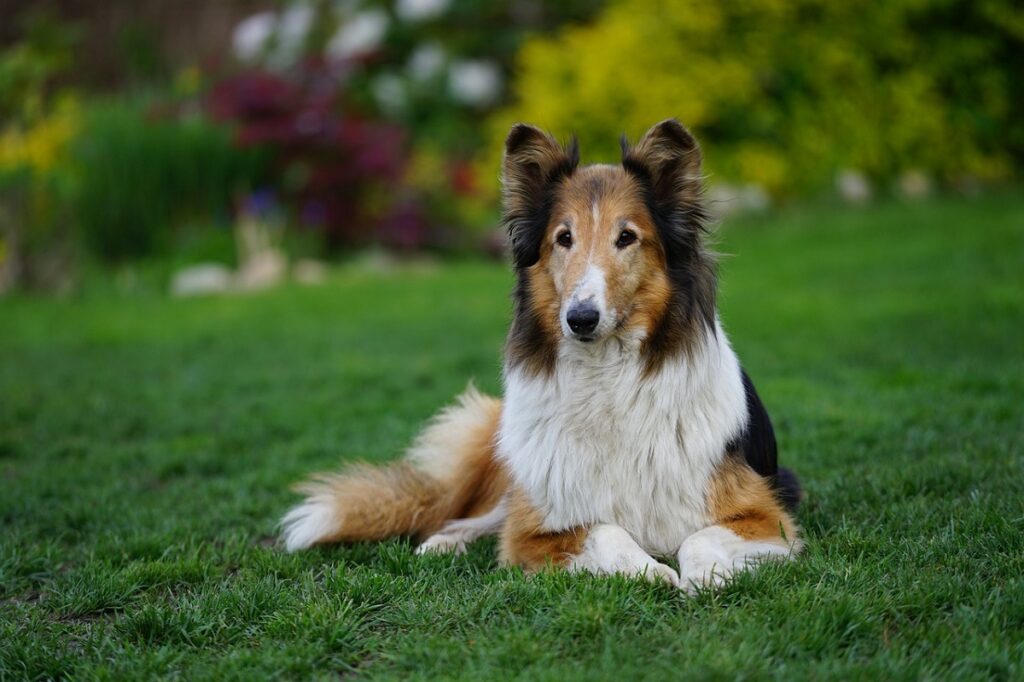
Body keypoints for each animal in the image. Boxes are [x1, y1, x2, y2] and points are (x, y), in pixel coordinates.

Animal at [280, 119, 798, 585]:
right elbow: (606, 530)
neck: (607, 379)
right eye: (563, 238)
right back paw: (443, 541)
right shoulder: (533, 530)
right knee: (478, 515)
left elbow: (698, 536)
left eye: (627, 237)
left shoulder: (767, 514)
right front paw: (651, 570)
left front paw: (702, 575)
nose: (581, 319)